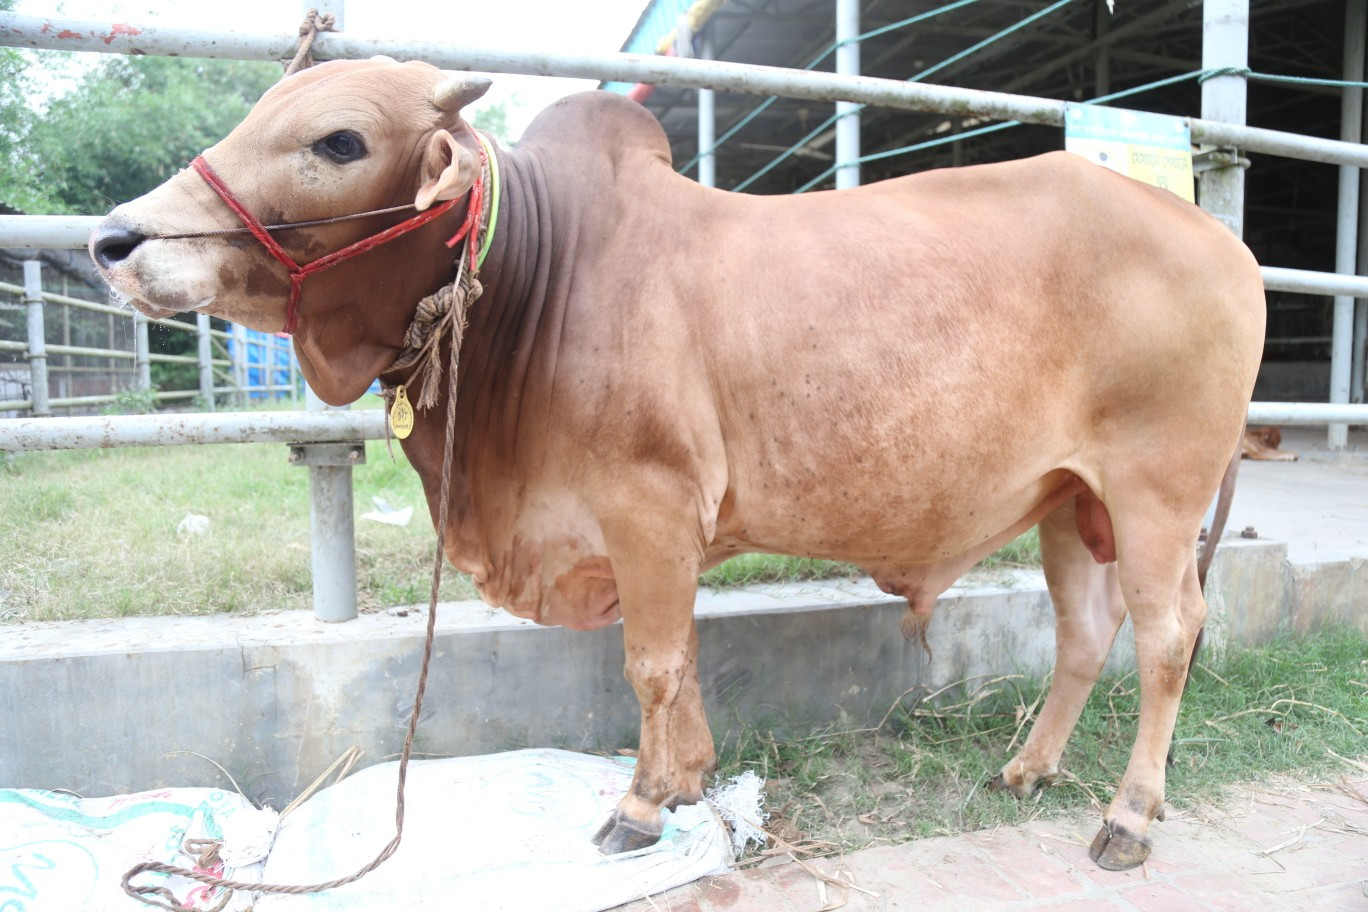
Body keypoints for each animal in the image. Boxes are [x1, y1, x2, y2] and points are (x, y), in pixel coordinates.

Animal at [88, 58, 1265, 871]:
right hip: (1069, 502)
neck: (537, 277)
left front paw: (642, 805)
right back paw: (1029, 767)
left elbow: (651, 663)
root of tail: (1221, 239)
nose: (114, 241)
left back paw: (1127, 817)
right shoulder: (657, 530)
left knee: (1169, 636)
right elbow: (684, 660)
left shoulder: (646, 510)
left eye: (337, 139)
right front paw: (693, 782)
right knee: (1086, 634)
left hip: (1155, 494)